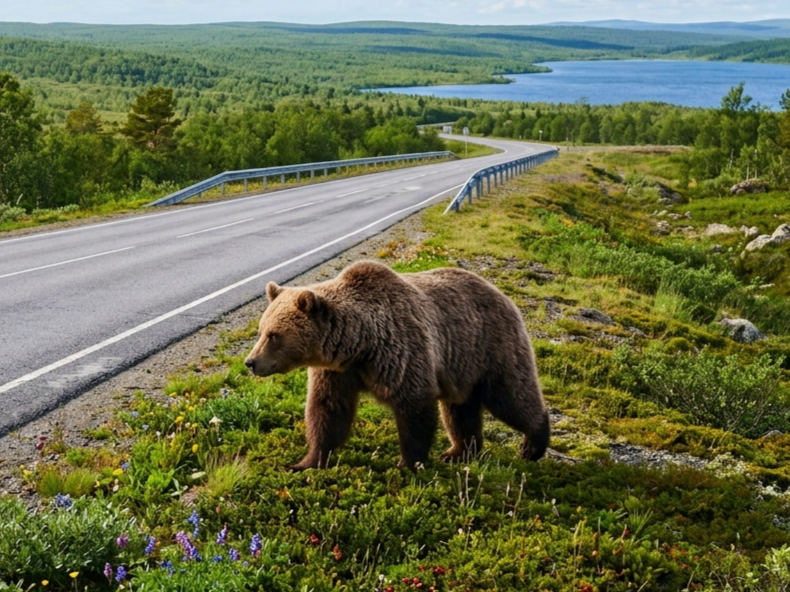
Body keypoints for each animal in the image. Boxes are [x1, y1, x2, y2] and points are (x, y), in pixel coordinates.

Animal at [244, 260, 549, 470]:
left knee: (511, 395)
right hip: (461, 368)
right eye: (261, 330)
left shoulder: (401, 351)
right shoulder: (337, 371)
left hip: (491, 347)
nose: (250, 362)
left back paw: (533, 445)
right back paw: (458, 452)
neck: (359, 344)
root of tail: (500, 292)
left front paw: (408, 463)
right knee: (460, 410)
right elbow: (328, 410)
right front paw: (306, 462)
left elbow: (414, 406)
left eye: (274, 335)